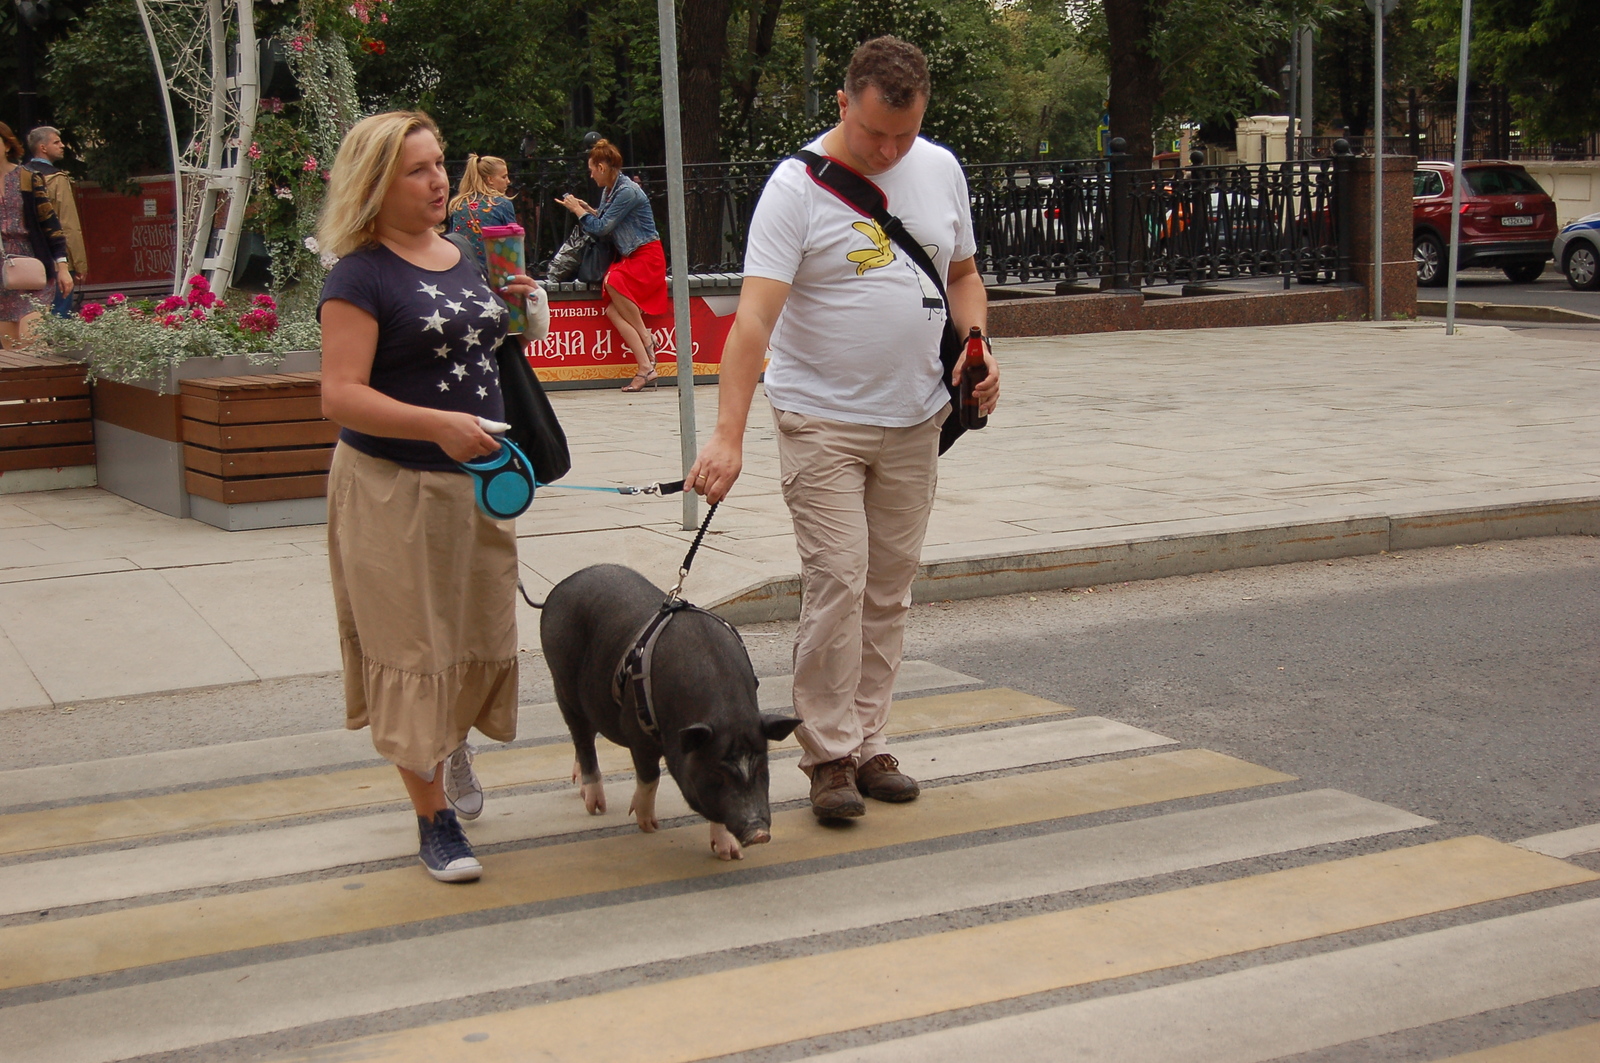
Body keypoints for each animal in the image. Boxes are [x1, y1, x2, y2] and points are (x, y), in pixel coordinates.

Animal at [540, 563, 800, 858]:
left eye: (762, 769)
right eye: (718, 773)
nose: (759, 833)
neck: (725, 712)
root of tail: (562, 586)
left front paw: (730, 855)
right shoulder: (636, 729)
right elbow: (650, 775)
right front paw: (648, 826)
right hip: (563, 685)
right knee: (582, 737)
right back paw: (596, 806)